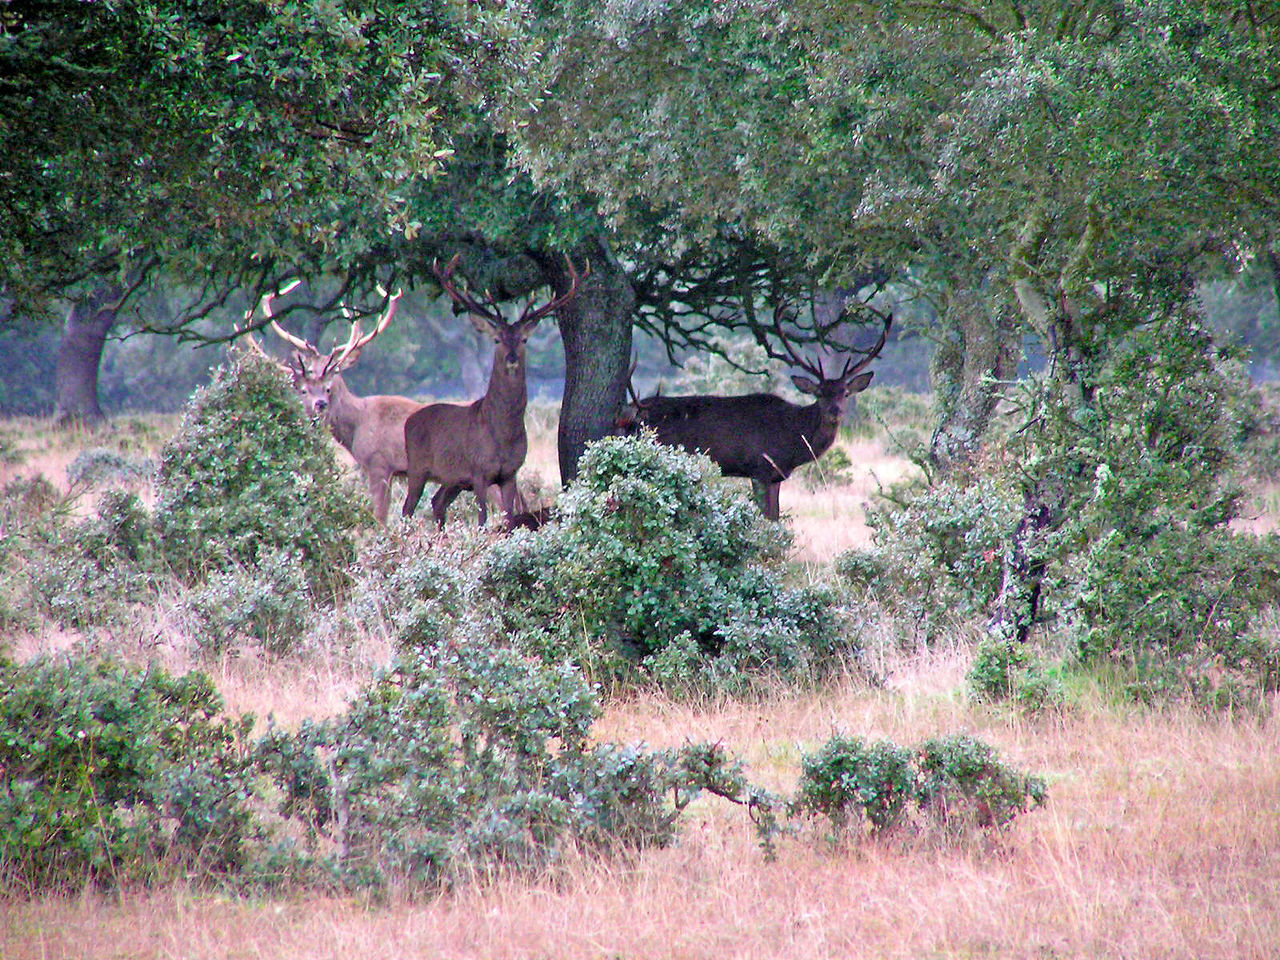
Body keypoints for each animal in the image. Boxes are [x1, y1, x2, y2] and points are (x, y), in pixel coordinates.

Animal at [240, 284, 419, 527]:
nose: (321, 404)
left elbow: (379, 519)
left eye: (328, 386)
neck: (358, 424)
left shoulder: (379, 463)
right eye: (303, 389)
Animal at [401, 252, 586, 529]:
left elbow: (509, 519)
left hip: (453, 479)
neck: (502, 433)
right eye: (497, 339)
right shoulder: (479, 471)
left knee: (437, 502)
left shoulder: (509, 473)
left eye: (523, 339)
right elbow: (482, 519)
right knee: (407, 509)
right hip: (417, 467)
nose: (511, 358)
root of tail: (408, 422)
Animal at [619, 313, 890, 519]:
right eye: (820, 393)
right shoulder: (760, 467)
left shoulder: (776, 475)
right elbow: (767, 519)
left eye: (845, 393)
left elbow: (776, 517)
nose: (835, 411)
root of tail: (632, 414)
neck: (793, 439)